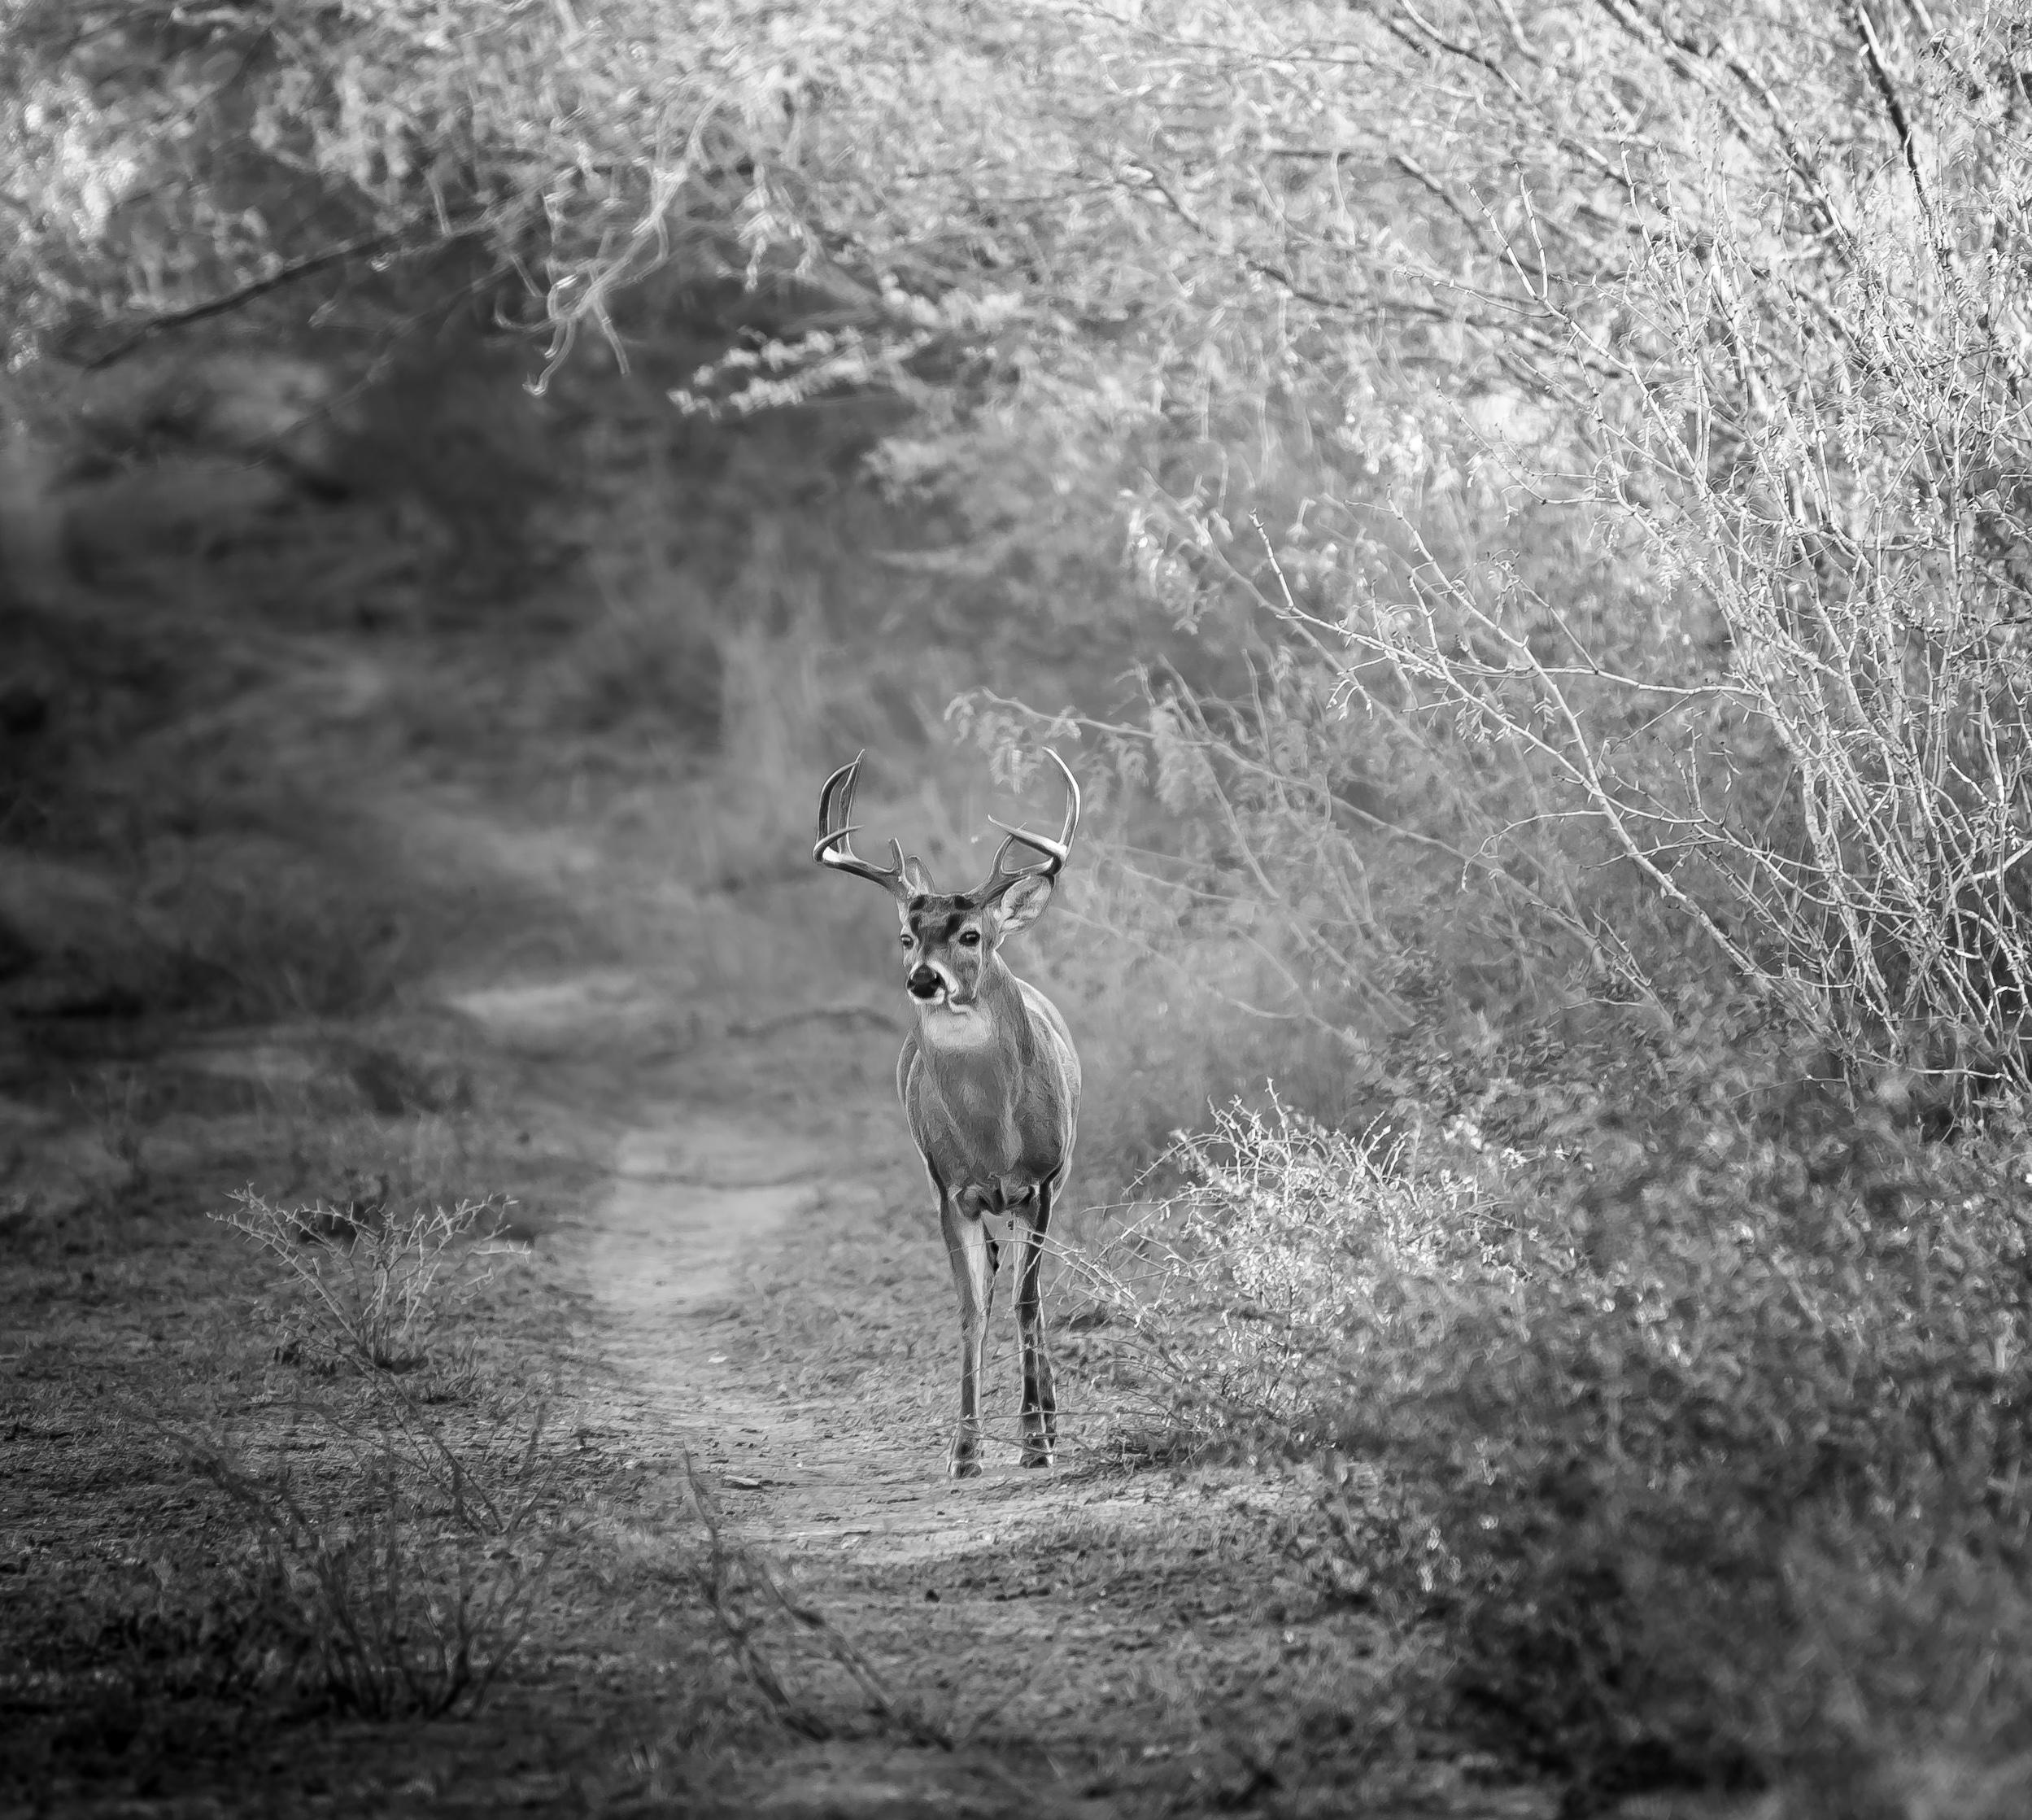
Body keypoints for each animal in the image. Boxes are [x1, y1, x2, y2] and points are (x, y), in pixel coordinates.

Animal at [814, 749, 1081, 1478]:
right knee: (996, 1283)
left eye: (970, 933)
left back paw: (1050, 1421)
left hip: (1048, 1185)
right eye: (906, 935)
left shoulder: (1040, 1181)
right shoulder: (948, 1187)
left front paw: (1034, 1441)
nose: (924, 978)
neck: (994, 1138)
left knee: (1030, 1294)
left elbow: (1026, 1300)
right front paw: (963, 1449)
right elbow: (970, 1307)